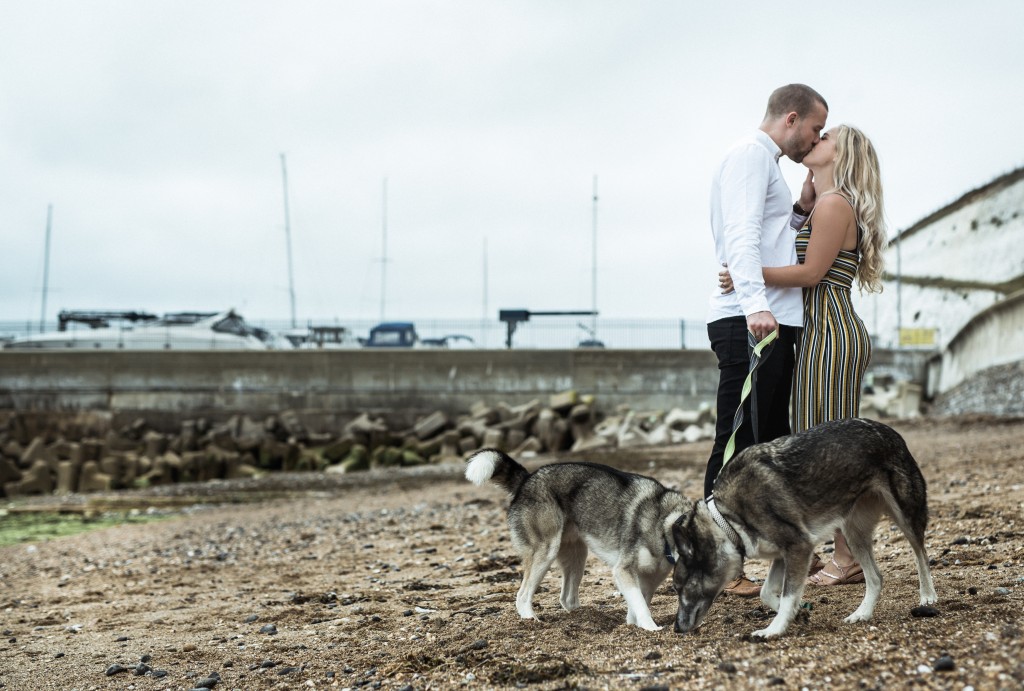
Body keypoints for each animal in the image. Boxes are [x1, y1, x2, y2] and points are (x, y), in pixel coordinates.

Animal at [466, 448, 688, 630]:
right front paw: (651, 628)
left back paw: (585, 617)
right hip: (545, 553)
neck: (663, 524)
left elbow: (640, 603)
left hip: (577, 556)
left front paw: (633, 625)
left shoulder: (649, 580)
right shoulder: (624, 570)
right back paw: (531, 620)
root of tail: (527, 479)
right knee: (522, 596)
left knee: (567, 599)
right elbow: (641, 605)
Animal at [671, 415, 937, 638]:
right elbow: (766, 592)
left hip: (906, 515)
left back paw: (927, 596)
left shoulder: (799, 547)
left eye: (679, 588)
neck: (729, 519)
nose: (675, 628)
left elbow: (788, 595)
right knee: (876, 578)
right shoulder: (783, 555)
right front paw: (797, 614)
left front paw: (774, 629)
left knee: (921, 554)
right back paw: (862, 613)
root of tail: (887, 429)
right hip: (854, 535)